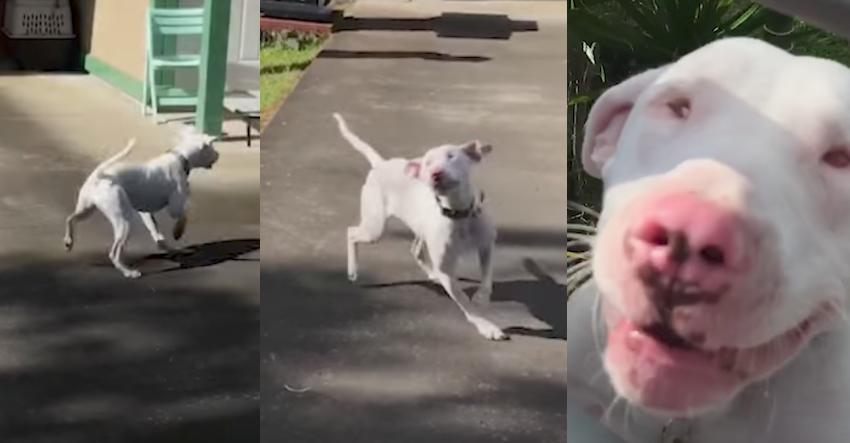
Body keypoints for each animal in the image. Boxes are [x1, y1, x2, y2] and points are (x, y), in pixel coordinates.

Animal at [65, 127, 220, 278]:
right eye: (213, 148)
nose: (218, 154)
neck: (180, 157)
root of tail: (100, 175)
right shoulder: (174, 208)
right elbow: (184, 215)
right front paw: (178, 232)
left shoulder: (146, 213)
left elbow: (158, 234)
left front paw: (174, 249)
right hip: (124, 222)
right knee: (114, 253)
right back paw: (128, 272)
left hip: (86, 210)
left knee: (70, 218)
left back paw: (68, 241)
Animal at [332, 113, 504, 340]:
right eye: (427, 163)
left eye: (451, 156)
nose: (435, 173)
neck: (459, 214)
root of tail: (381, 165)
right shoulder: (446, 269)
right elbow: (464, 302)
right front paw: (486, 326)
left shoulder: (486, 245)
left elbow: (487, 276)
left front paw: (482, 297)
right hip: (374, 227)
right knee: (351, 232)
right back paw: (353, 270)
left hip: (417, 226)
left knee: (415, 250)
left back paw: (432, 275)